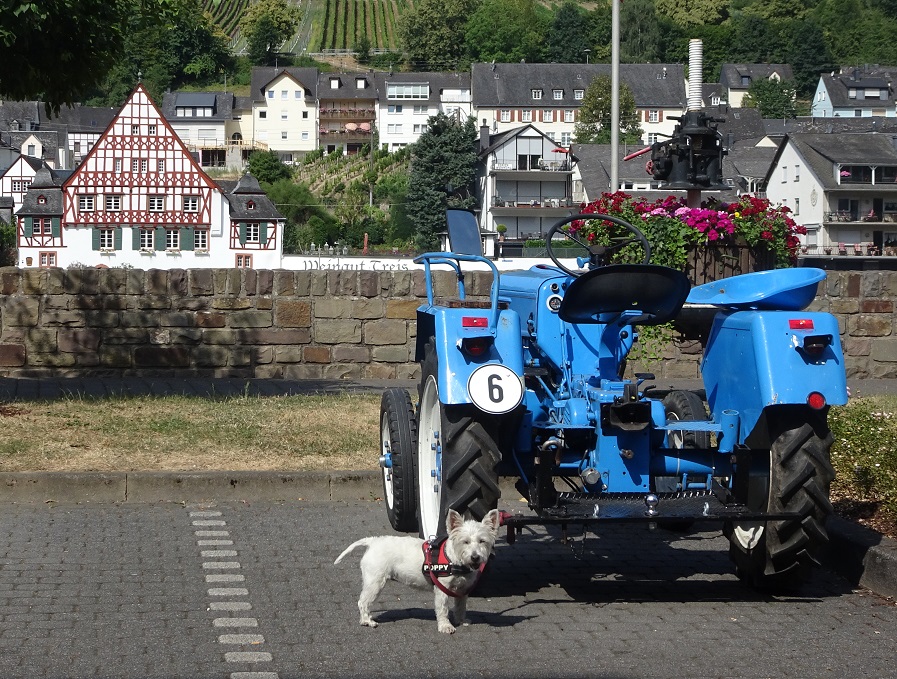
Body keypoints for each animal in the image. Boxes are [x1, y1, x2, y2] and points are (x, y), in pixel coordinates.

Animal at [336, 510, 500, 636]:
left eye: (482, 541)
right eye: (465, 541)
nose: (475, 557)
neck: (455, 560)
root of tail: (372, 542)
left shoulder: (462, 590)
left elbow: (460, 607)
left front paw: (461, 620)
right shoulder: (442, 589)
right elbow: (442, 609)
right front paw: (445, 626)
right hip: (375, 582)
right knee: (363, 602)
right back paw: (367, 621)